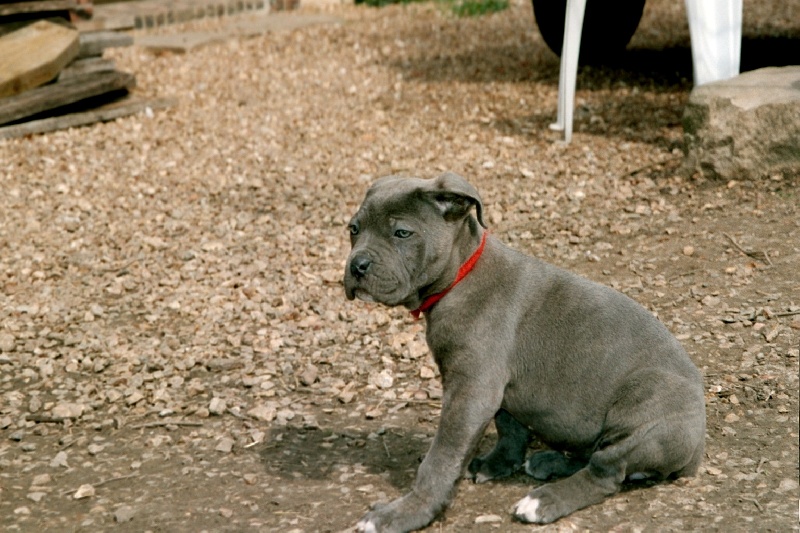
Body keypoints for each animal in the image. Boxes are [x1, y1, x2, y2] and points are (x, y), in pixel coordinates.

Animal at [343, 172, 705, 532]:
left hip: (647, 407)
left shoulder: (471, 390)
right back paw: (550, 461)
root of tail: (696, 452)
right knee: (596, 456)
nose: (357, 265)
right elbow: (510, 428)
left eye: (402, 233)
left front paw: (405, 512)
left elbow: (440, 459)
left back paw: (544, 500)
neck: (462, 275)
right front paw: (499, 463)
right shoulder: (497, 389)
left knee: (606, 471)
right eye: (353, 229)